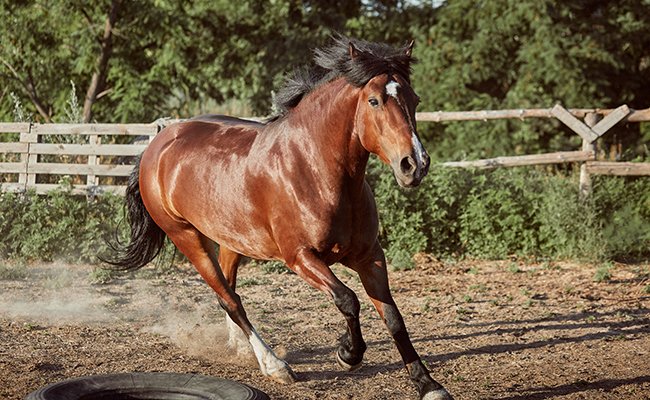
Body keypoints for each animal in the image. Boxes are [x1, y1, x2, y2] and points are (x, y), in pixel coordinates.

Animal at [105, 36, 450, 398]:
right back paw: (274, 365)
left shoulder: (369, 256)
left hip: (232, 239)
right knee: (230, 299)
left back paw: (243, 350)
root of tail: (157, 144)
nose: (415, 164)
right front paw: (348, 354)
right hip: (187, 238)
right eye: (374, 101)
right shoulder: (300, 257)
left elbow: (394, 317)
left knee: (228, 292)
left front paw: (428, 384)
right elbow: (348, 299)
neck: (315, 169)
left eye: (414, 99)